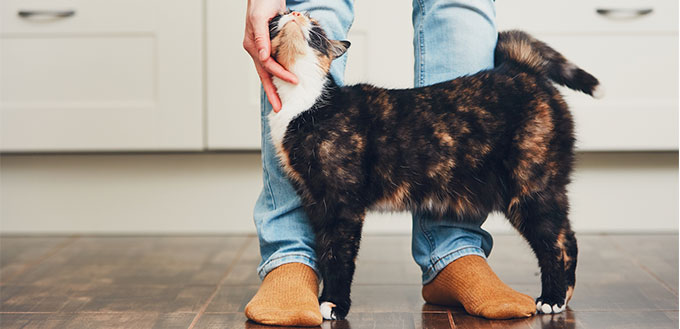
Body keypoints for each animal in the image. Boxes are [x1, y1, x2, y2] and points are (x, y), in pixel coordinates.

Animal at [266, 10, 600, 320]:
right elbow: (325, 252)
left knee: (557, 242)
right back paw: (562, 295)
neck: (304, 102)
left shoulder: (342, 204)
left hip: (531, 188)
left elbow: (339, 256)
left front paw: (334, 304)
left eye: (316, 27)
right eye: (279, 17)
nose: (295, 12)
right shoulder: (315, 202)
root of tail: (519, 69)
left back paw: (553, 298)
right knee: (565, 238)